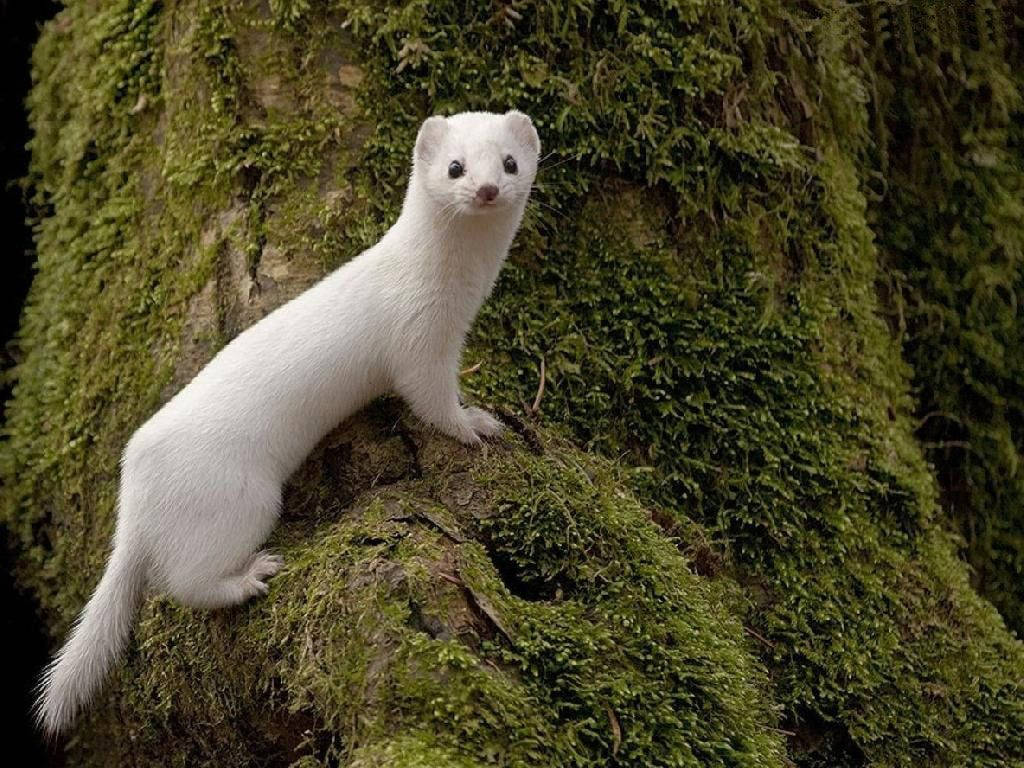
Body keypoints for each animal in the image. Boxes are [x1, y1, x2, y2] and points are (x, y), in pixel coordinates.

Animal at [36, 107, 540, 733]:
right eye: (455, 166)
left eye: (510, 162)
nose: (488, 188)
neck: (454, 291)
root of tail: (133, 496)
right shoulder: (419, 343)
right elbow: (430, 399)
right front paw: (476, 424)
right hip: (243, 498)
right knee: (183, 582)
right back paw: (250, 575)